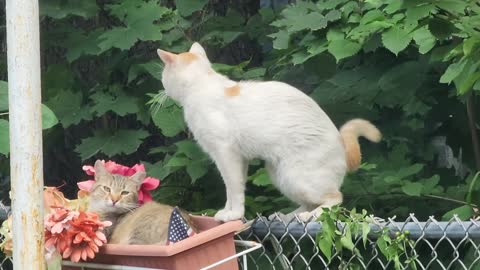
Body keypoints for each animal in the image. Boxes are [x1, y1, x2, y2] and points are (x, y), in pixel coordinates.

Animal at [156, 42, 380, 221]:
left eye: (164, 75)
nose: (162, 90)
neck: (201, 85)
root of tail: (343, 146)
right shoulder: (240, 159)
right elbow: (235, 188)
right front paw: (228, 211)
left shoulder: (226, 154)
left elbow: (232, 187)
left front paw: (233, 215)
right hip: (279, 174)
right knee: (309, 203)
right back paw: (287, 216)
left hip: (295, 176)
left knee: (334, 198)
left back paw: (310, 216)